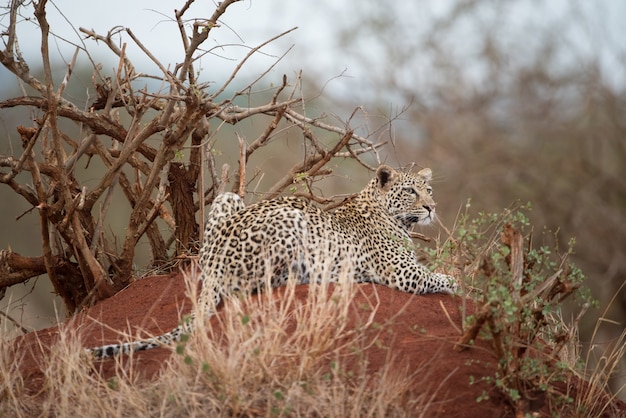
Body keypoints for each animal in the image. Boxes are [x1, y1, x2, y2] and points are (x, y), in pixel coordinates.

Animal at [88, 164, 456, 360]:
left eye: (429, 190)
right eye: (410, 192)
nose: (432, 208)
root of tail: (215, 264)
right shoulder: (403, 274)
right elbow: (441, 278)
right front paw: (454, 283)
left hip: (228, 199)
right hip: (291, 220)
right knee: (259, 286)